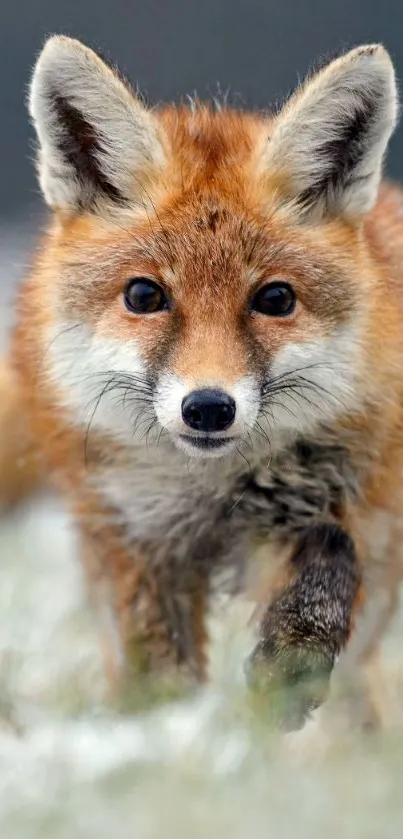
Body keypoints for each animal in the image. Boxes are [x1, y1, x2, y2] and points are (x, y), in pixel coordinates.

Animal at [1, 36, 402, 720]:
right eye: (144, 295)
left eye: (275, 299)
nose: (209, 407)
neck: (212, 491)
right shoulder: (133, 537)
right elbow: (157, 674)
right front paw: (162, 728)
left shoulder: (329, 498)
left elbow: (330, 562)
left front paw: (288, 669)